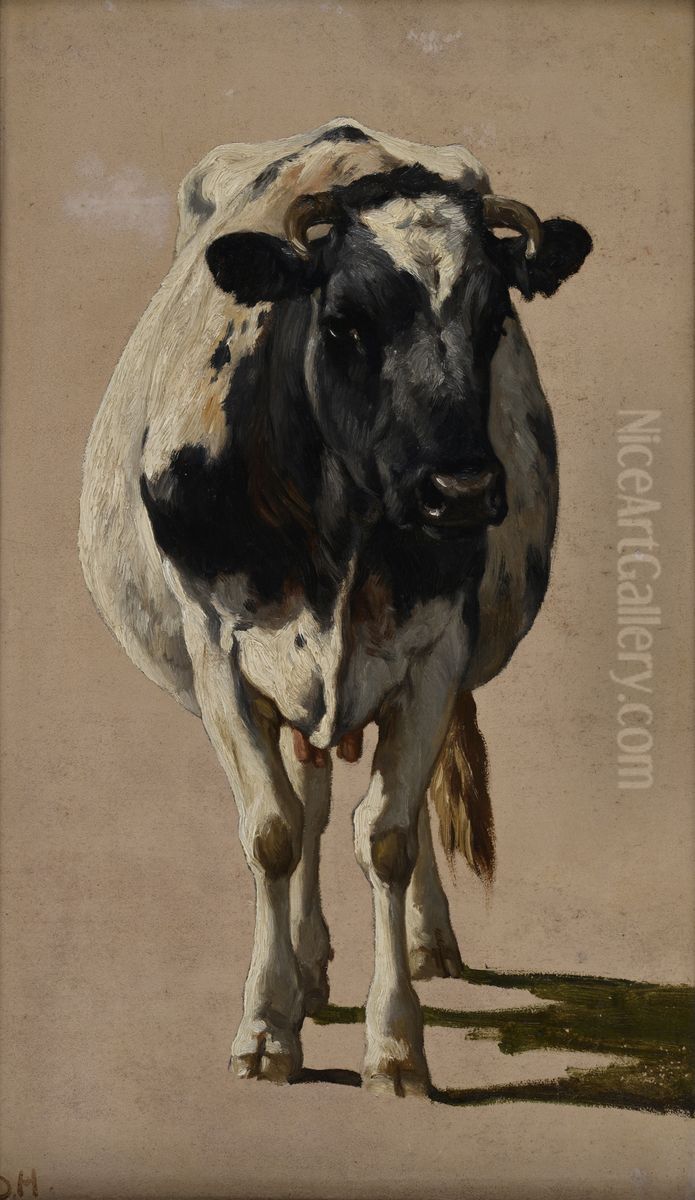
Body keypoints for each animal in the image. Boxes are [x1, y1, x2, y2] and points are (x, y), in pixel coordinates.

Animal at [79, 118, 592, 1096]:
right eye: (344, 321)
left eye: (494, 322)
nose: (460, 490)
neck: (337, 527)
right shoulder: (218, 652)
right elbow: (275, 830)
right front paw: (266, 1026)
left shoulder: (435, 653)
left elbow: (387, 835)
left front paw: (395, 1044)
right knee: (310, 798)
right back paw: (310, 971)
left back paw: (426, 943)